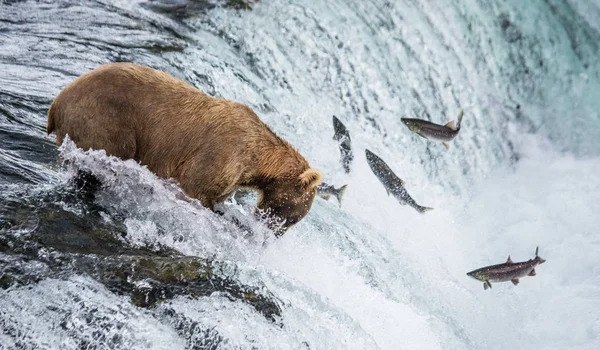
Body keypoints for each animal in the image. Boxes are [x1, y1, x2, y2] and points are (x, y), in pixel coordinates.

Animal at [48, 62, 322, 235]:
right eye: (293, 217)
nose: (272, 235)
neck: (257, 163)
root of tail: (56, 103)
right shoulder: (220, 154)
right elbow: (194, 189)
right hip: (104, 122)